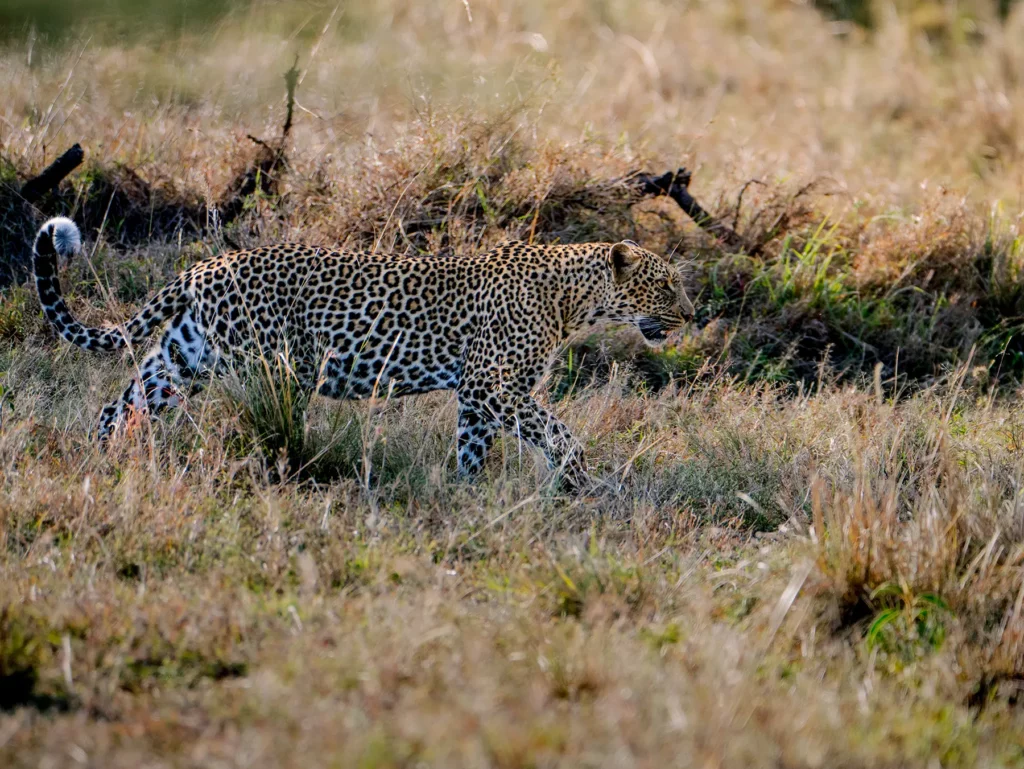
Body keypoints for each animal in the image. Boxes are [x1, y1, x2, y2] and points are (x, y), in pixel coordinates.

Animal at [31, 217, 695, 484]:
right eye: (666, 286)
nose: (691, 316)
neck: (575, 299)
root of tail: (203, 266)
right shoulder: (491, 385)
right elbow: (560, 433)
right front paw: (581, 481)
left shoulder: (478, 397)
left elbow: (473, 448)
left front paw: (467, 494)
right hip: (267, 365)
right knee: (264, 420)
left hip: (183, 357)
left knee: (117, 408)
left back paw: (104, 463)